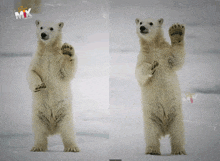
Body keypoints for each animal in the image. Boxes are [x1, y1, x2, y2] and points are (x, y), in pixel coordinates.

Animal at [27, 20, 79, 152]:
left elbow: (67, 70)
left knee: (67, 130)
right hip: (38, 114)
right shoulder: (37, 60)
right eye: (41, 27)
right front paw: (39, 86)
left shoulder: (58, 62)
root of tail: (52, 129)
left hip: (64, 113)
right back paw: (38, 147)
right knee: (39, 131)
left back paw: (72, 147)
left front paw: (68, 49)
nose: (43, 34)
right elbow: (31, 72)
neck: (48, 51)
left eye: (51, 28)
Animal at [135, 17, 186, 155]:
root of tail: (164, 129)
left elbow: (177, 59)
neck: (153, 46)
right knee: (151, 134)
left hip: (176, 116)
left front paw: (176, 30)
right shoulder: (142, 57)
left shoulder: (166, 54)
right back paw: (152, 150)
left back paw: (179, 151)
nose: (142, 28)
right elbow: (140, 72)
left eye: (151, 23)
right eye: (140, 22)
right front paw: (152, 66)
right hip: (151, 117)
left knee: (177, 133)